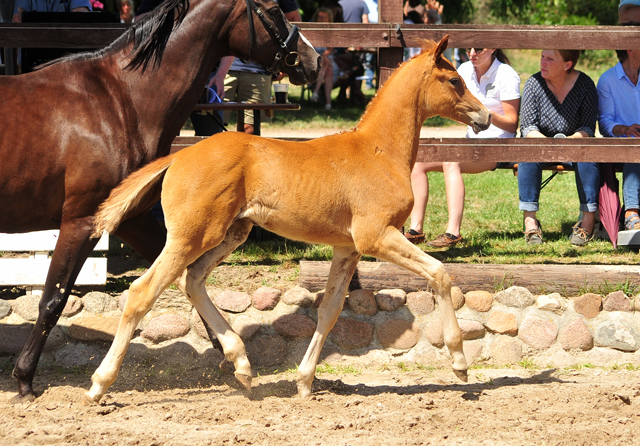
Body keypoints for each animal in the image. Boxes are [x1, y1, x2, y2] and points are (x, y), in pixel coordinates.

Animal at [86, 36, 490, 402]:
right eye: (454, 80)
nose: (485, 115)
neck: (379, 151)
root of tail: (178, 157)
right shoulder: (376, 235)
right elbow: (439, 273)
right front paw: (460, 363)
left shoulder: (348, 248)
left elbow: (329, 310)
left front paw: (304, 382)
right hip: (192, 236)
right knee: (143, 291)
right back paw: (100, 384)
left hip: (231, 233)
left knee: (193, 280)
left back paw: (242, 365)